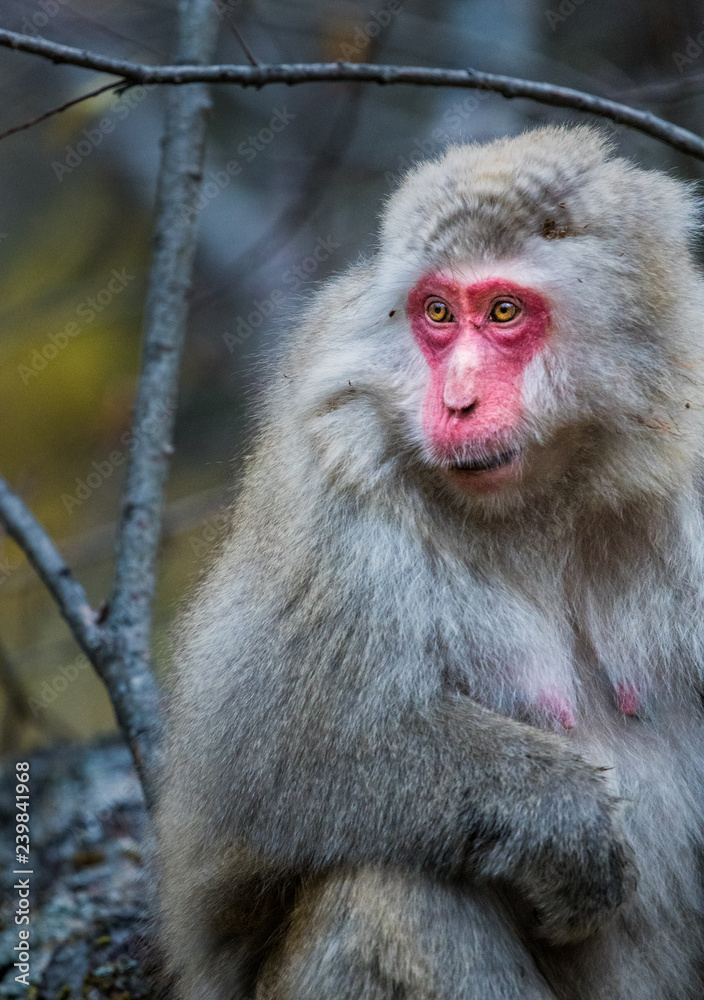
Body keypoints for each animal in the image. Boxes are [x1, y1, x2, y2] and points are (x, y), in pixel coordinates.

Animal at [155, 125, 704, 1000]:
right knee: (394, 889)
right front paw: (561, 815)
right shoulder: (335, 466)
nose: (456, 403)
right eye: (437, 313)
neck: (554, 486)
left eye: (505, 311)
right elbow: (268, 750)